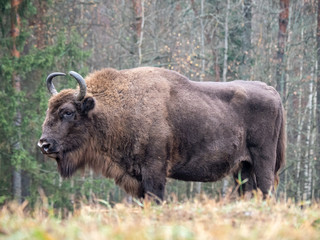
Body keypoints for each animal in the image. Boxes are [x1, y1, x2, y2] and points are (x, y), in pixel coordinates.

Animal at [38, 66, 286, 200]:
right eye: (48, 109)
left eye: (68, 112)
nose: (44, 144)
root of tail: (273, 92)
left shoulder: (154, 172)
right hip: (242, 168)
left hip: (263, 161)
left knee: (266, 191)